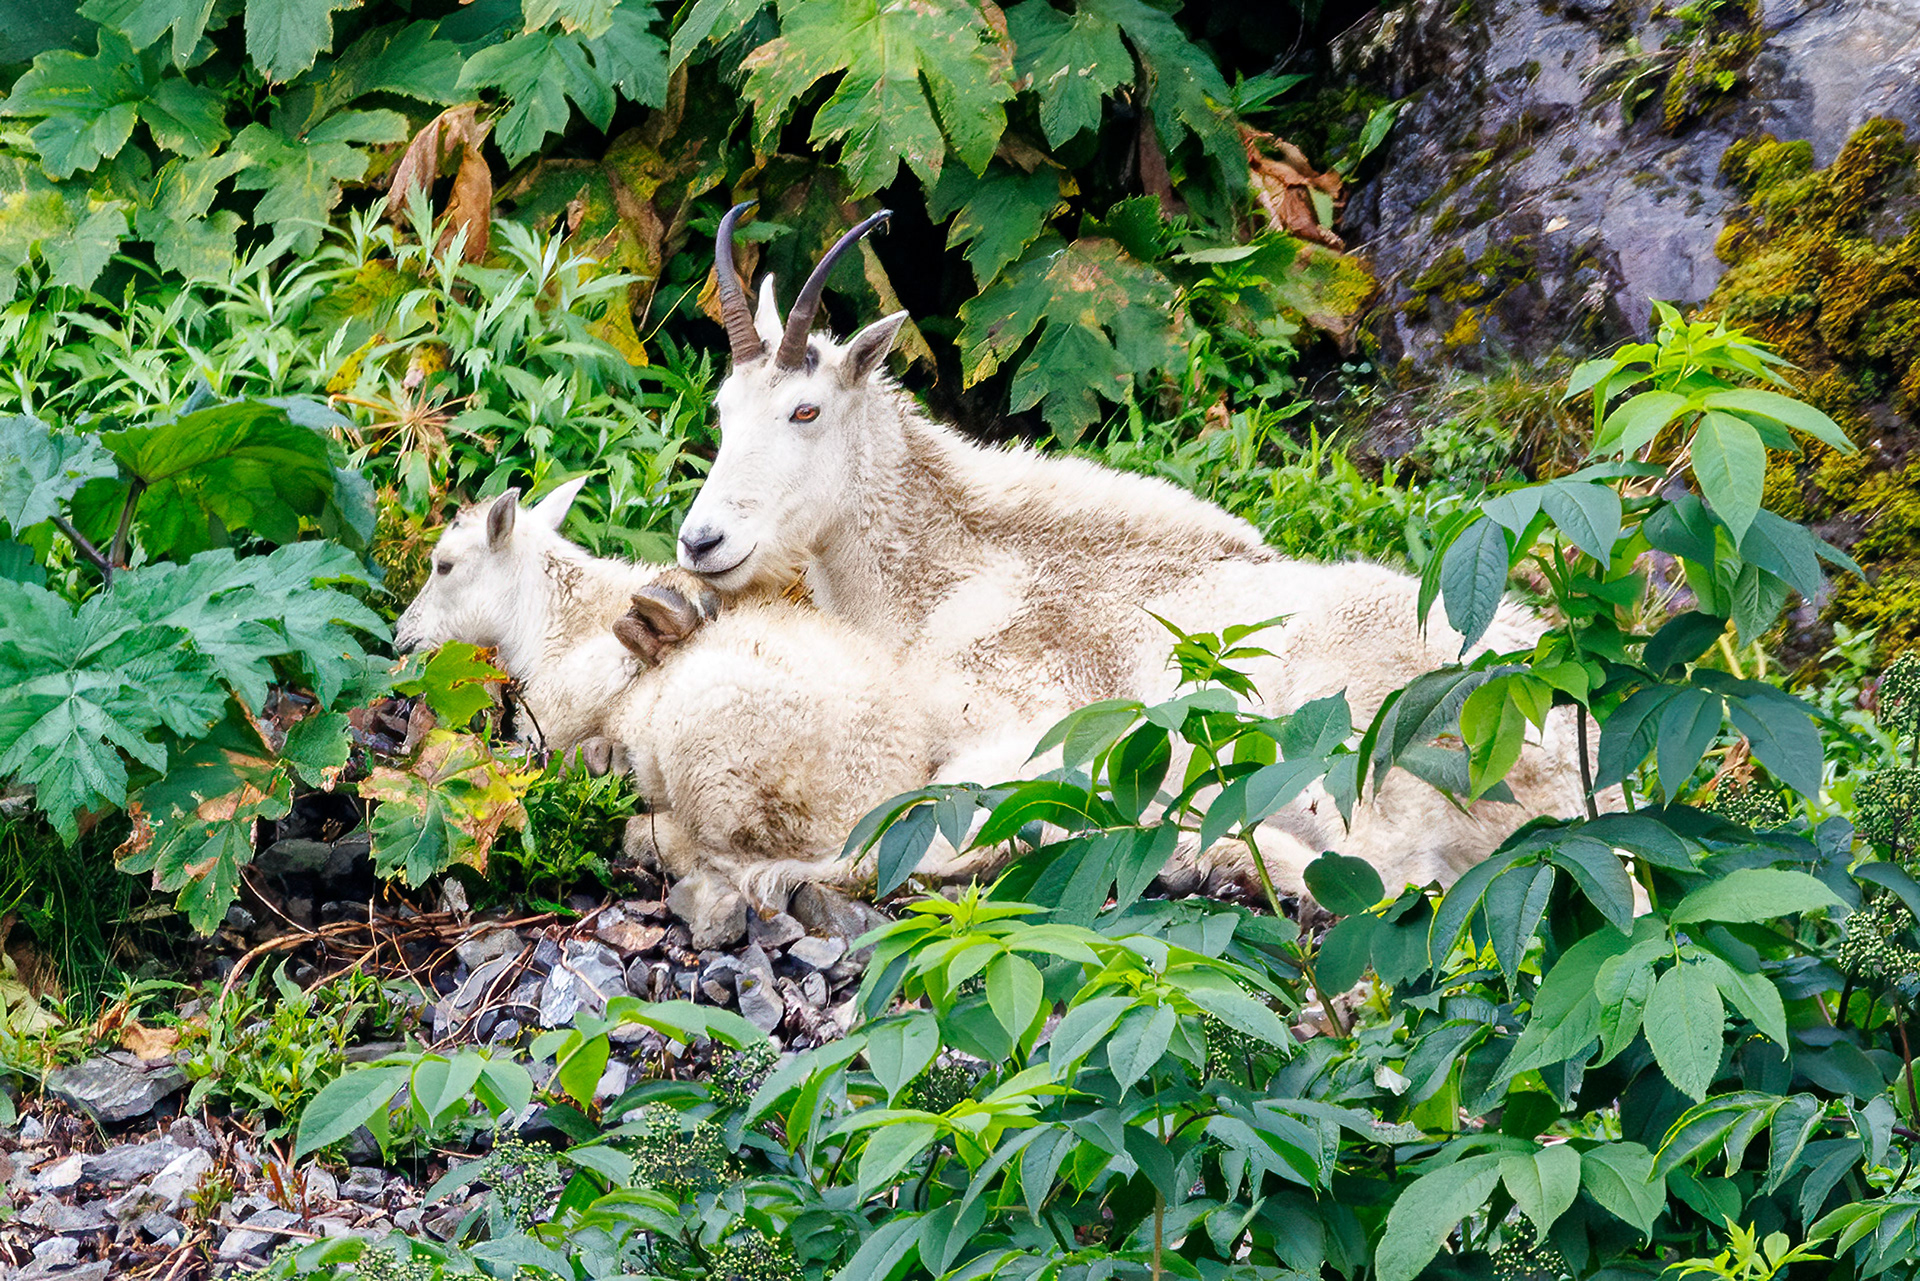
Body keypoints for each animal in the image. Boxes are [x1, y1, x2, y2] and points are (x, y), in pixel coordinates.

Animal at [394, 481, 938, 946]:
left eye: (444, 565)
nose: (402, 636)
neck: (557, 619)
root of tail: (866, 828)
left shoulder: (555, 712)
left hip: (716, 760)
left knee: (723, 860)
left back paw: (639, 825)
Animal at [662, 204, 1606, 905]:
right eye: (722, 410)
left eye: (807, 410)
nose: (703, 541)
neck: (945, 580)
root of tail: (1582, 769)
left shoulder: (1031, 725)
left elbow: (914, 820)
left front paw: (763, 869)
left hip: (1371, 740)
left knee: (1388, 874)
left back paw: (1202, 849)